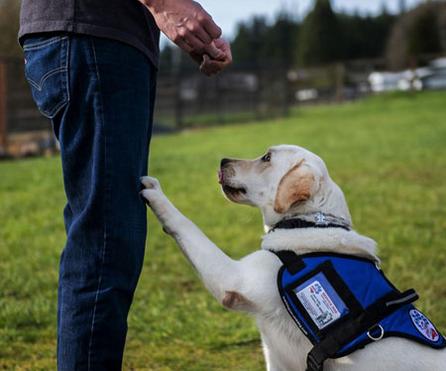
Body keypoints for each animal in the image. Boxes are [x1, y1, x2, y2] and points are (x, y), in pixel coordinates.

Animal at [141, 145, 444, 371]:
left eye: (266, 158)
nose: (222, 159)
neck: (309, 221)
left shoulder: (234, 279)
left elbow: (186, 225)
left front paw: (155, 192)